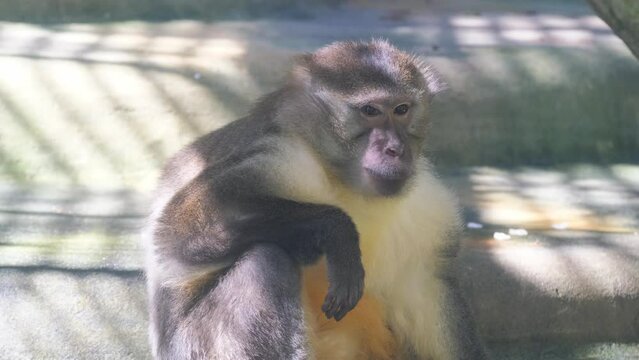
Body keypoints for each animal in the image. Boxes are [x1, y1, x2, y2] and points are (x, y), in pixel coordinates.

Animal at [144, 40, 484, 360]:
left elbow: (428, 287)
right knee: (265, 262)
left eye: (402, 109)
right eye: (370, 111)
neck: (346, 183)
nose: (395, 149)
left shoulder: (428, 204)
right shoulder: (283, 156)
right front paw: (337, 233)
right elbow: (179, 231)